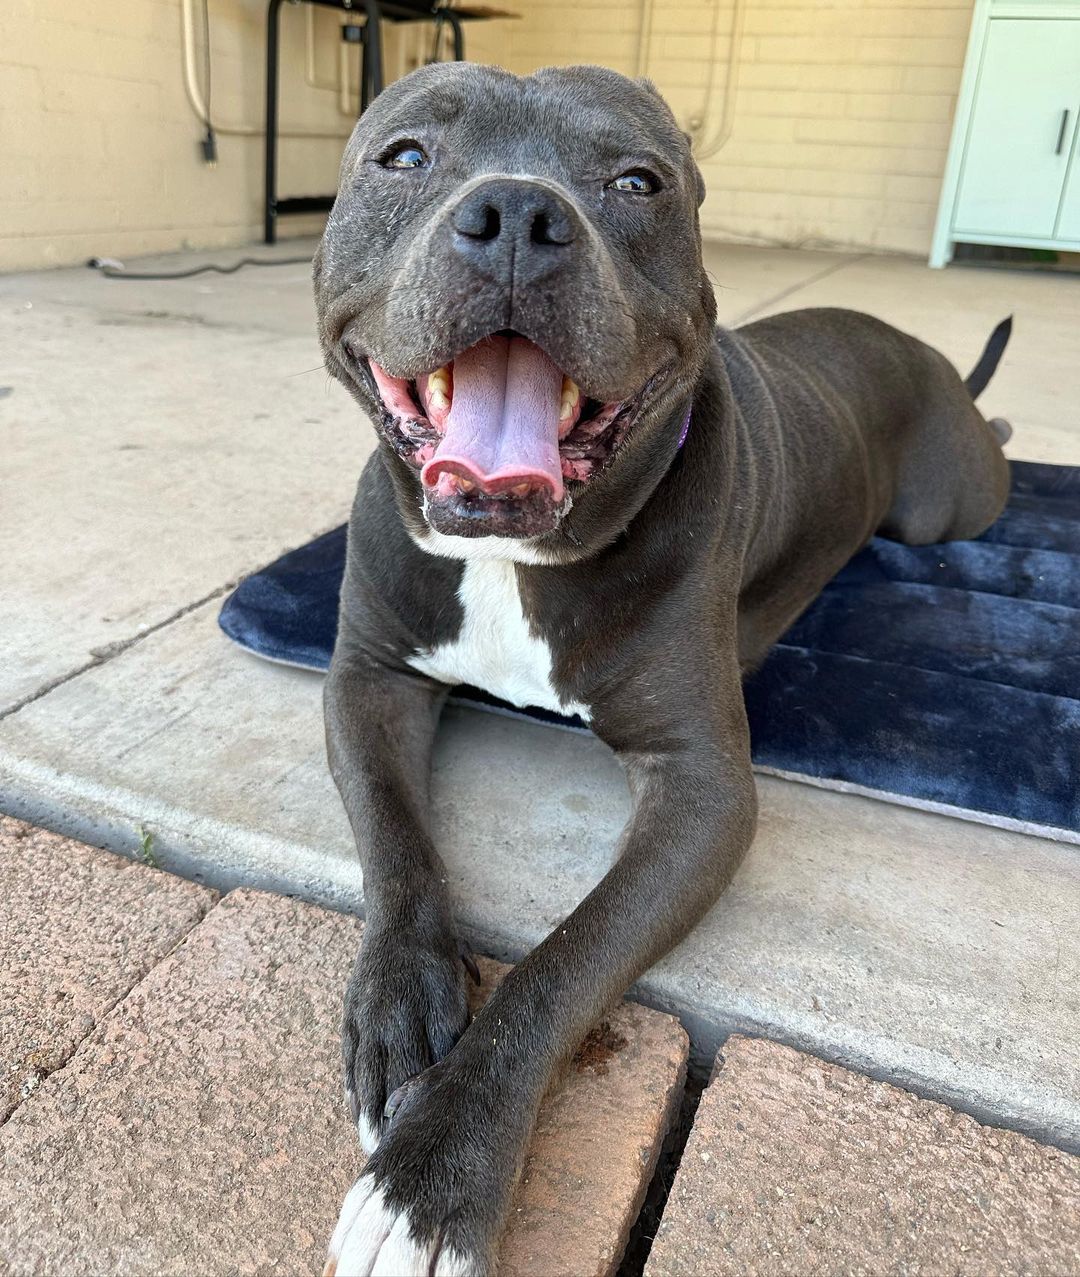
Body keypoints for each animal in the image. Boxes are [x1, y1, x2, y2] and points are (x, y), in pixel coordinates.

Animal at [315, 62, 1016, 1277]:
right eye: (403, 156)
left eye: (636, 181)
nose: (516, 213)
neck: (516, 558)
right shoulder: (368, 680)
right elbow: (397, 849)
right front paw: (403, 1006)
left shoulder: (702, 789)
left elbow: (562, 964)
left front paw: (431, 1180)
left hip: (948, 509)